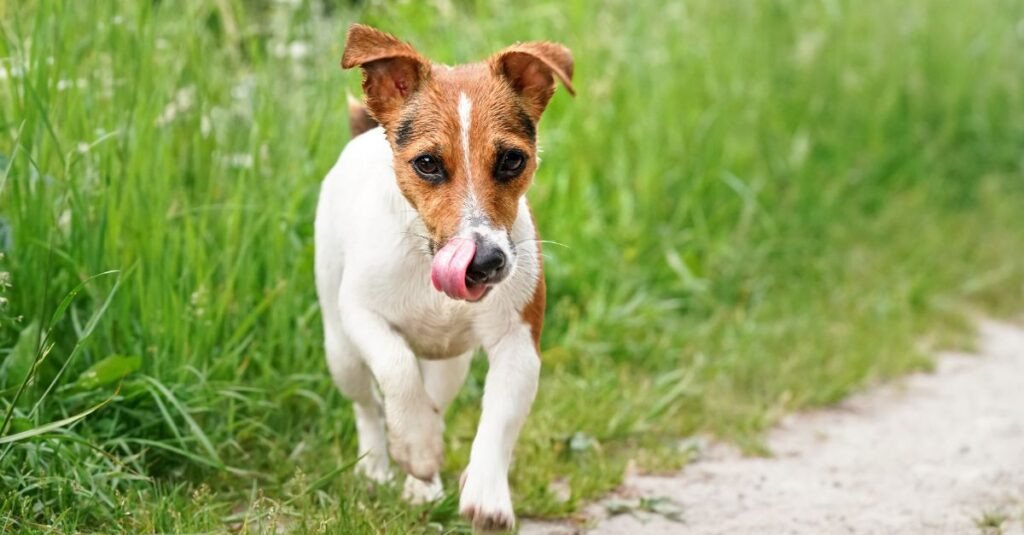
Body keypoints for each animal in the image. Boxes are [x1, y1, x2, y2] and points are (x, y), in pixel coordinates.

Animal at [315, 24, 573, 528]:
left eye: (513, 160)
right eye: (428, 164)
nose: (484, 262)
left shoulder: (518, 342)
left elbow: (499, 419)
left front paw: (487, 493)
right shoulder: (361, 313)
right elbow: (395, 368)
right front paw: (416, 445)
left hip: (451, 362)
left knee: (435, 395)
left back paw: (422, 484)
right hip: (340, 349)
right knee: (367, 405)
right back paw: (378, 465)